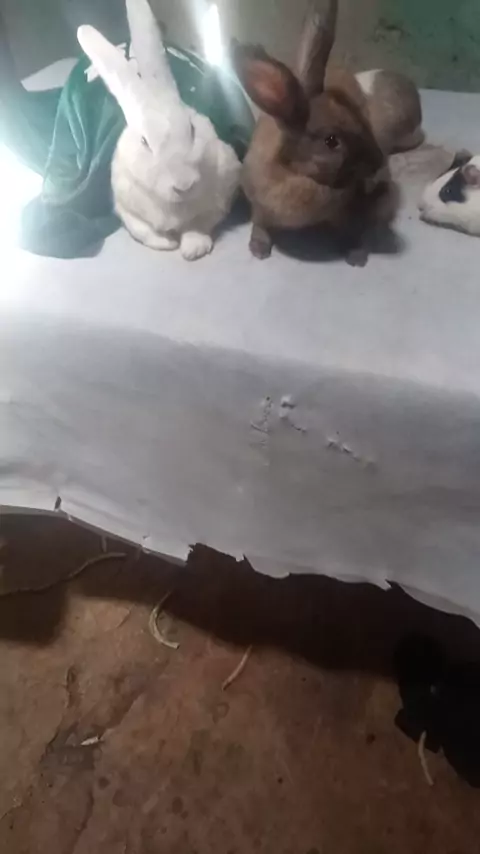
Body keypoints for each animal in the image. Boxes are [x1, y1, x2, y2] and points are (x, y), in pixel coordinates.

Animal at [77, 0, 241, 261]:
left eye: (192, 129)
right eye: (145, 142)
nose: (184, 185)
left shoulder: (224, 191)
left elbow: (199, 224)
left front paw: (193, 249)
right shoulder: (125, 207)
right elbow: (143, 231)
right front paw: (167, 243)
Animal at [232, 0, 402, 266]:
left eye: (360, 120)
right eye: (331, 141)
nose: (376, 161)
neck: (296, 174)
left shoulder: (343, 212)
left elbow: (350, 231)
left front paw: (356, 255)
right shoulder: (259, 208)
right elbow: (260, 226)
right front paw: (258, 249)